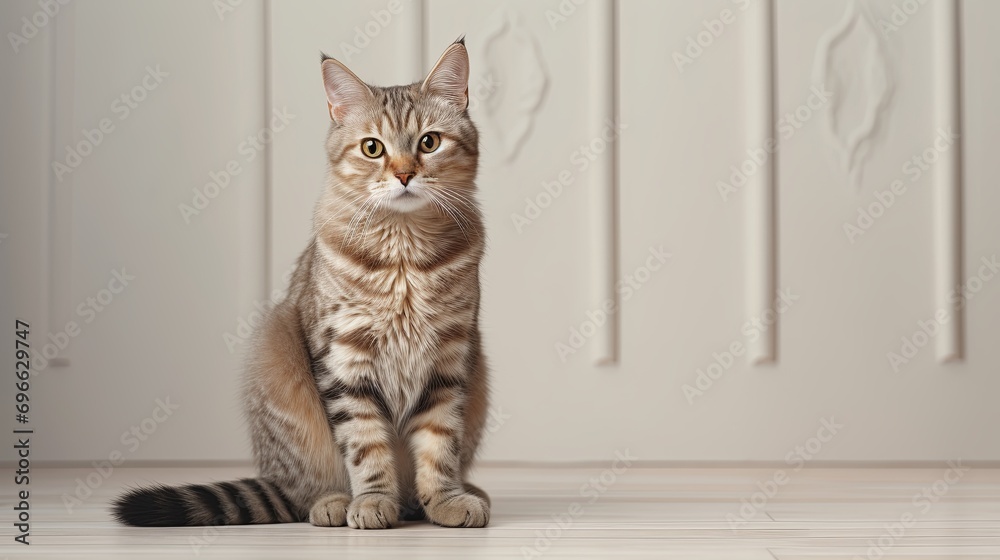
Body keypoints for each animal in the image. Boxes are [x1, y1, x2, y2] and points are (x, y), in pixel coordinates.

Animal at [113, 39, 492, 528]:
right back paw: (333, 502)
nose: (405, 174)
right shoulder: (344, 360)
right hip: (276, 360)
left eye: (430, 142)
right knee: (302, 491)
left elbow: (440, 443)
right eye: (373, 148)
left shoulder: (450, 358)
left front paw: (445, 498)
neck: (404, 255)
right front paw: (372, 500)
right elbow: (365, 445)